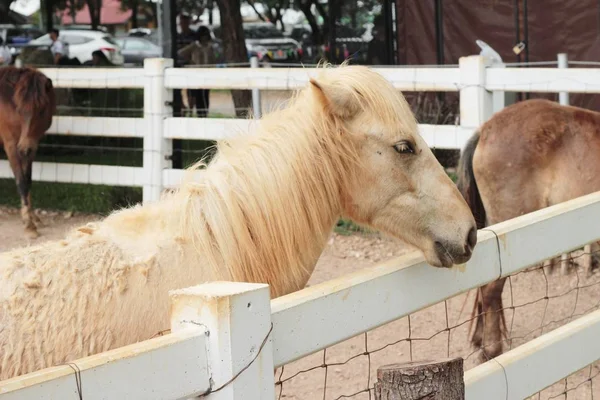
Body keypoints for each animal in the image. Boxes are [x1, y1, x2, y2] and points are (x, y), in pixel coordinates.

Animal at [0, 66, 56, 238]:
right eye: (19, 110)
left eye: (42, 110)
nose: (24, 147)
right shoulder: (12, 146)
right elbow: (22, 182)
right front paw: (29, 226)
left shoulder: (31, 147)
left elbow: (28, 180)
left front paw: (33, 218)